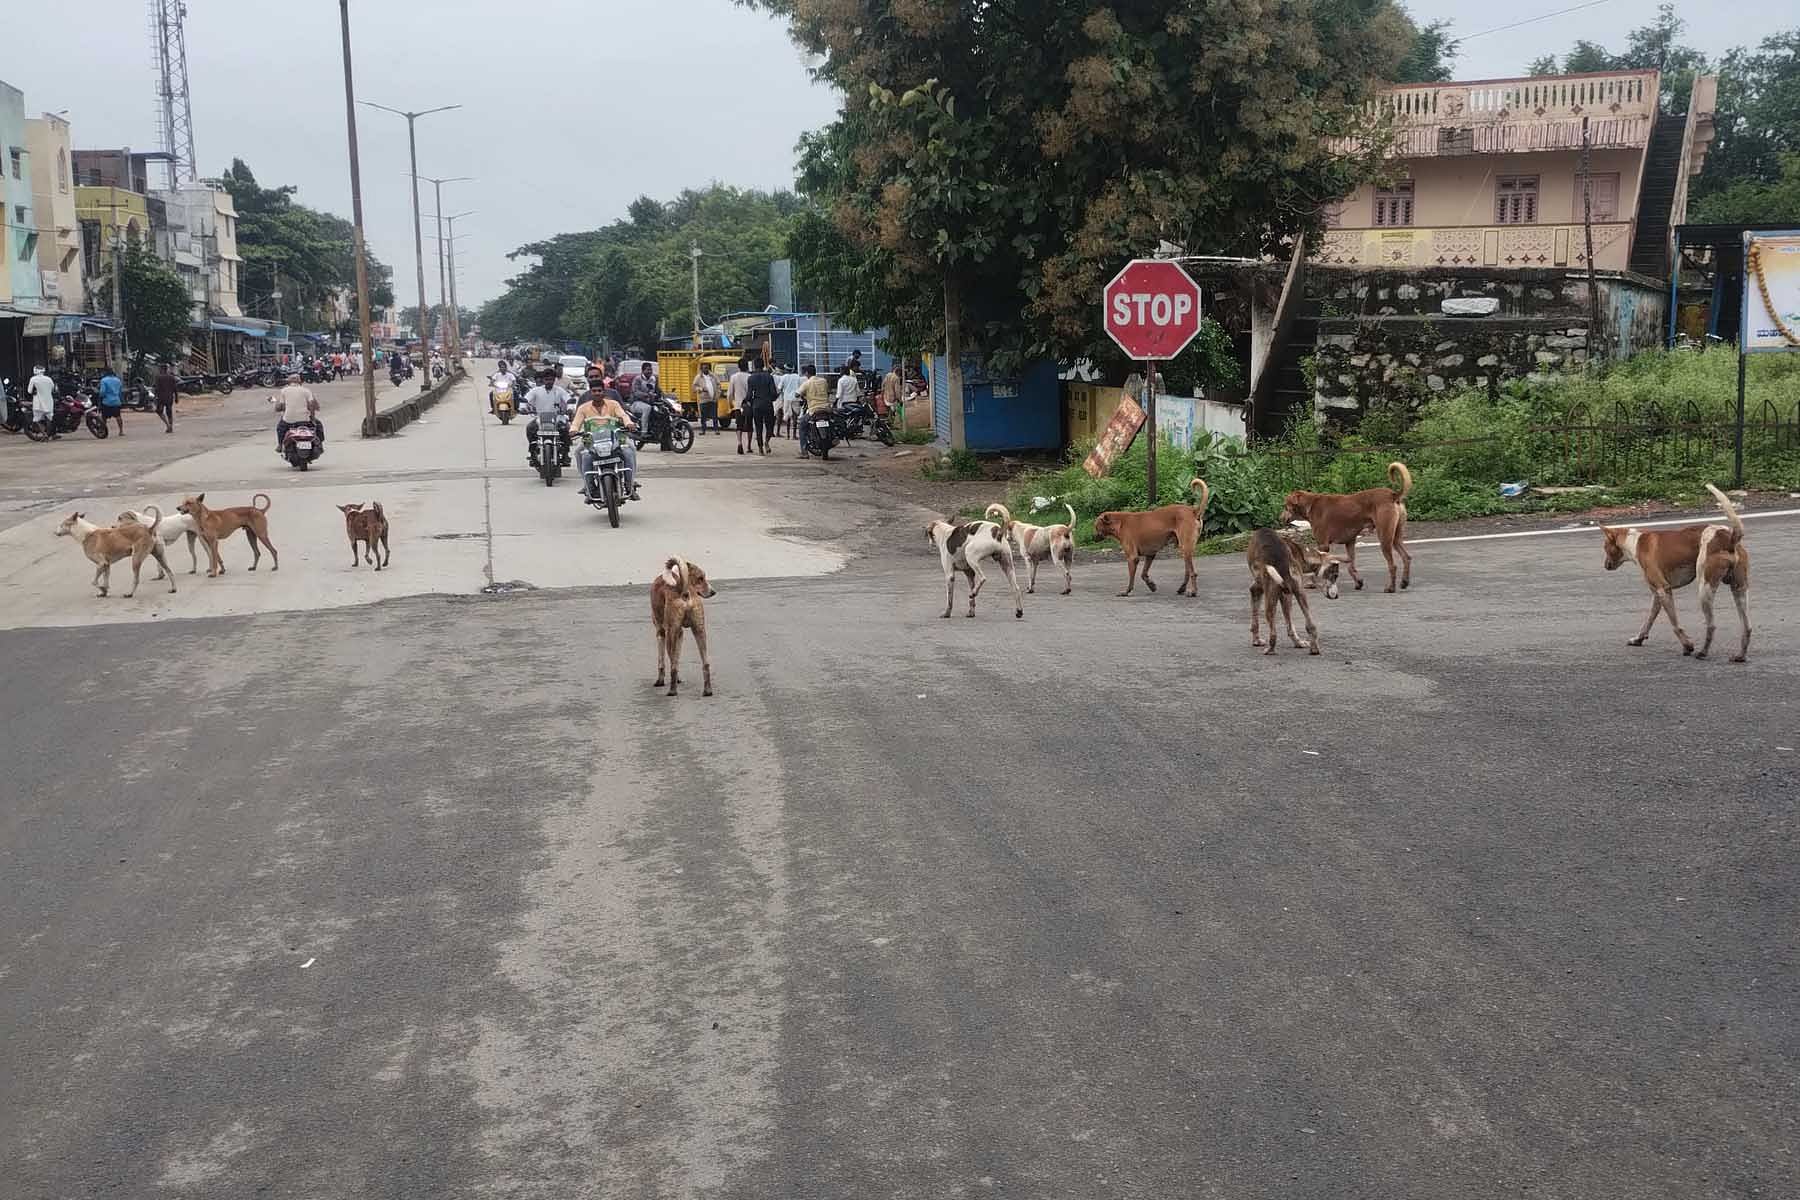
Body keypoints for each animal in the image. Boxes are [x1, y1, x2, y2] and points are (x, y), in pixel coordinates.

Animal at [648, 557, 716, 698]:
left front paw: (660, 681)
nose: (713, 592)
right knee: (706, 664)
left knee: (673, 666)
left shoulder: (662, 633)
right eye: (700, 578)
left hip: (671, 633)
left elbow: (663, 660)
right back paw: (707, 691)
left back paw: (672, 691)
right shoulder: (680, 634)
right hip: (699, 631)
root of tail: (684, 590)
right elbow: (675, 658)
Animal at [1087, 474, 1216, 597]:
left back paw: (1193, 592)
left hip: (1186, 547)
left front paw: (1126, 592)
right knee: (1187, 572)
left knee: (1193, 573)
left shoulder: (1132, 557)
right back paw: (1182, 589)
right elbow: (1143, 574)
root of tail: (1193, 511)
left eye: (1096, 526)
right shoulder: (1150, 554)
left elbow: (1131, 580)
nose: (1092, 537)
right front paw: (1151, 585)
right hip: (1185, 550)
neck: (1120, 522)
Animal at [1245, 528, 1332, 658]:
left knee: (1273, 632)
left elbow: (1255, 622)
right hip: (1300, 594)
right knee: (1310, 625)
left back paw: (1270, 649)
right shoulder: (1286, 594)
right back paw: (1311, 647)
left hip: (1270, 600)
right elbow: (1290, 625)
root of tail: (1284, 565)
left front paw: (1256, 640)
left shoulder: (1257, 590)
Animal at [1274, 460, 1411, 590]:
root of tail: (1393, 495)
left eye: (1285, 506)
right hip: (1395, 537)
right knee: (1407, 557)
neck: (1311, 504)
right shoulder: (1350, 542)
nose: (1279, 518)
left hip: (1385, 538)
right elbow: (1351, 566)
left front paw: (1311, 583)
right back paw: (1404, 582)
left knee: (1393, 565)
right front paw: (1358, 582)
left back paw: (1391, 587)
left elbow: (1318, 566)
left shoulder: (1323, 545)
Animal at [1605, 482, 1742, 665]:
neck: (1634, 542)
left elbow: (1675, 625)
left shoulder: (1664, 590)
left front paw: (1687, 646)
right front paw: (1639, 639)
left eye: (1605, 548)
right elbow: (1649, 619)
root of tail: (1728, 538)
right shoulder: (1657, 594)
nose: (1605, 566)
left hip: (1705, 587)